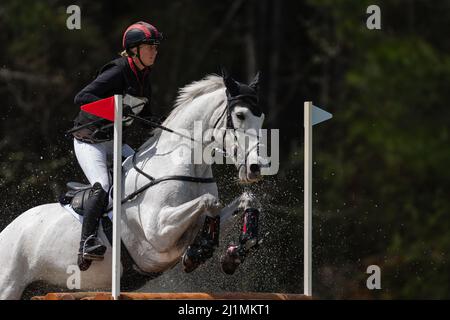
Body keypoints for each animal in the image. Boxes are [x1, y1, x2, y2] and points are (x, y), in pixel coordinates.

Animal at [0, 73, 268, 300]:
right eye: (241, 115)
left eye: (261, 117)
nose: (256, 167)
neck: (183, 164)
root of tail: (8, 230)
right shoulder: (157, 235)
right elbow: (209, 203)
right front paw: (199, 251)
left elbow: (245, 200)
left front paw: (235, 251)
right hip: (9, 285)